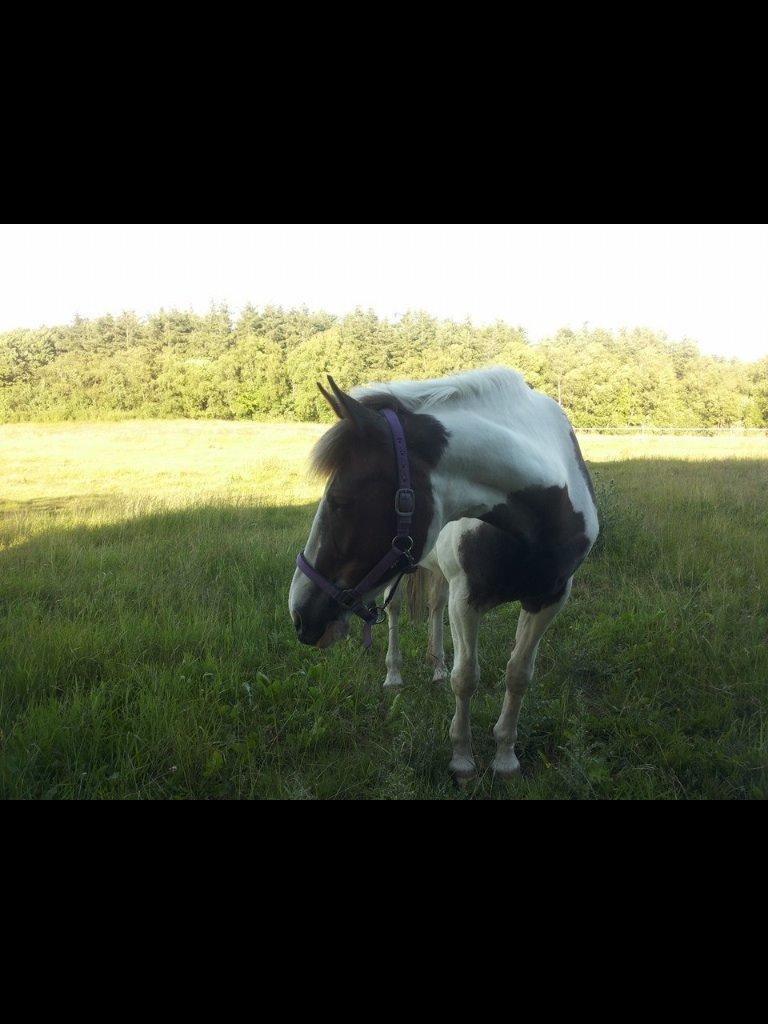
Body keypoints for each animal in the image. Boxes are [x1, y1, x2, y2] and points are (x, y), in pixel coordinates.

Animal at [288, 368, 602, 774]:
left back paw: (435, 667)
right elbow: (466, 677)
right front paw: (463, 759)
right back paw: (394, 675)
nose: (299, 615)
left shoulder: (548, 598)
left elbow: (518, 674)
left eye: (340, 501)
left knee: (435, 607)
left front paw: (505, 757)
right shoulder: (466, 600)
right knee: (395, 612)